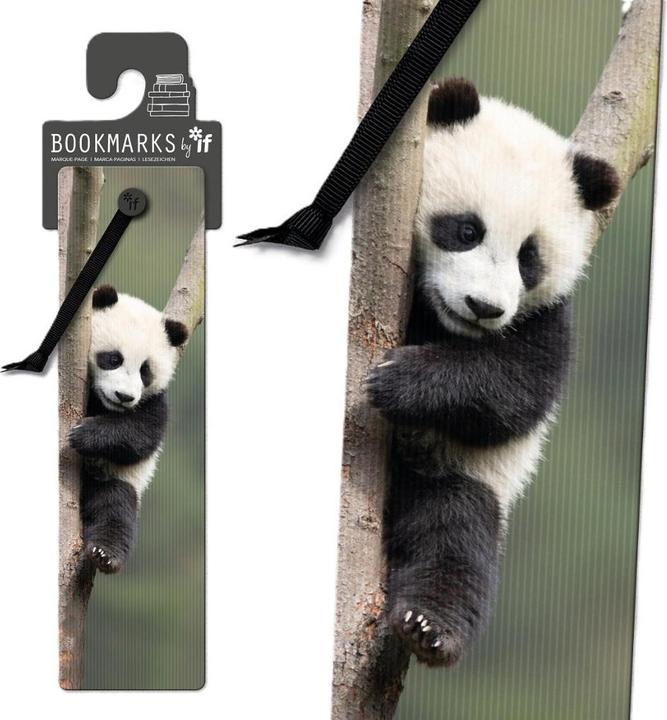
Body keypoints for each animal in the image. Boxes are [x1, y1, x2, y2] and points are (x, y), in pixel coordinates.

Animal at [68, 285, 188, 574]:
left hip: (116, 481)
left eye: (145, 371)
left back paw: (104, 554)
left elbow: (141, 434)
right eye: (113, 359)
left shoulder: (154, 401)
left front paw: (84, 434)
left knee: (115, 507)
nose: (124, 397)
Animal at [367, 78, 620, 667]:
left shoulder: (546, 317)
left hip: (466, 479)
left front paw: (398, 380)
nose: (483, 307)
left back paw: (429, 627)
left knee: (454, 539)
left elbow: (516, 389)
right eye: (466, 230)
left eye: (530, 258)